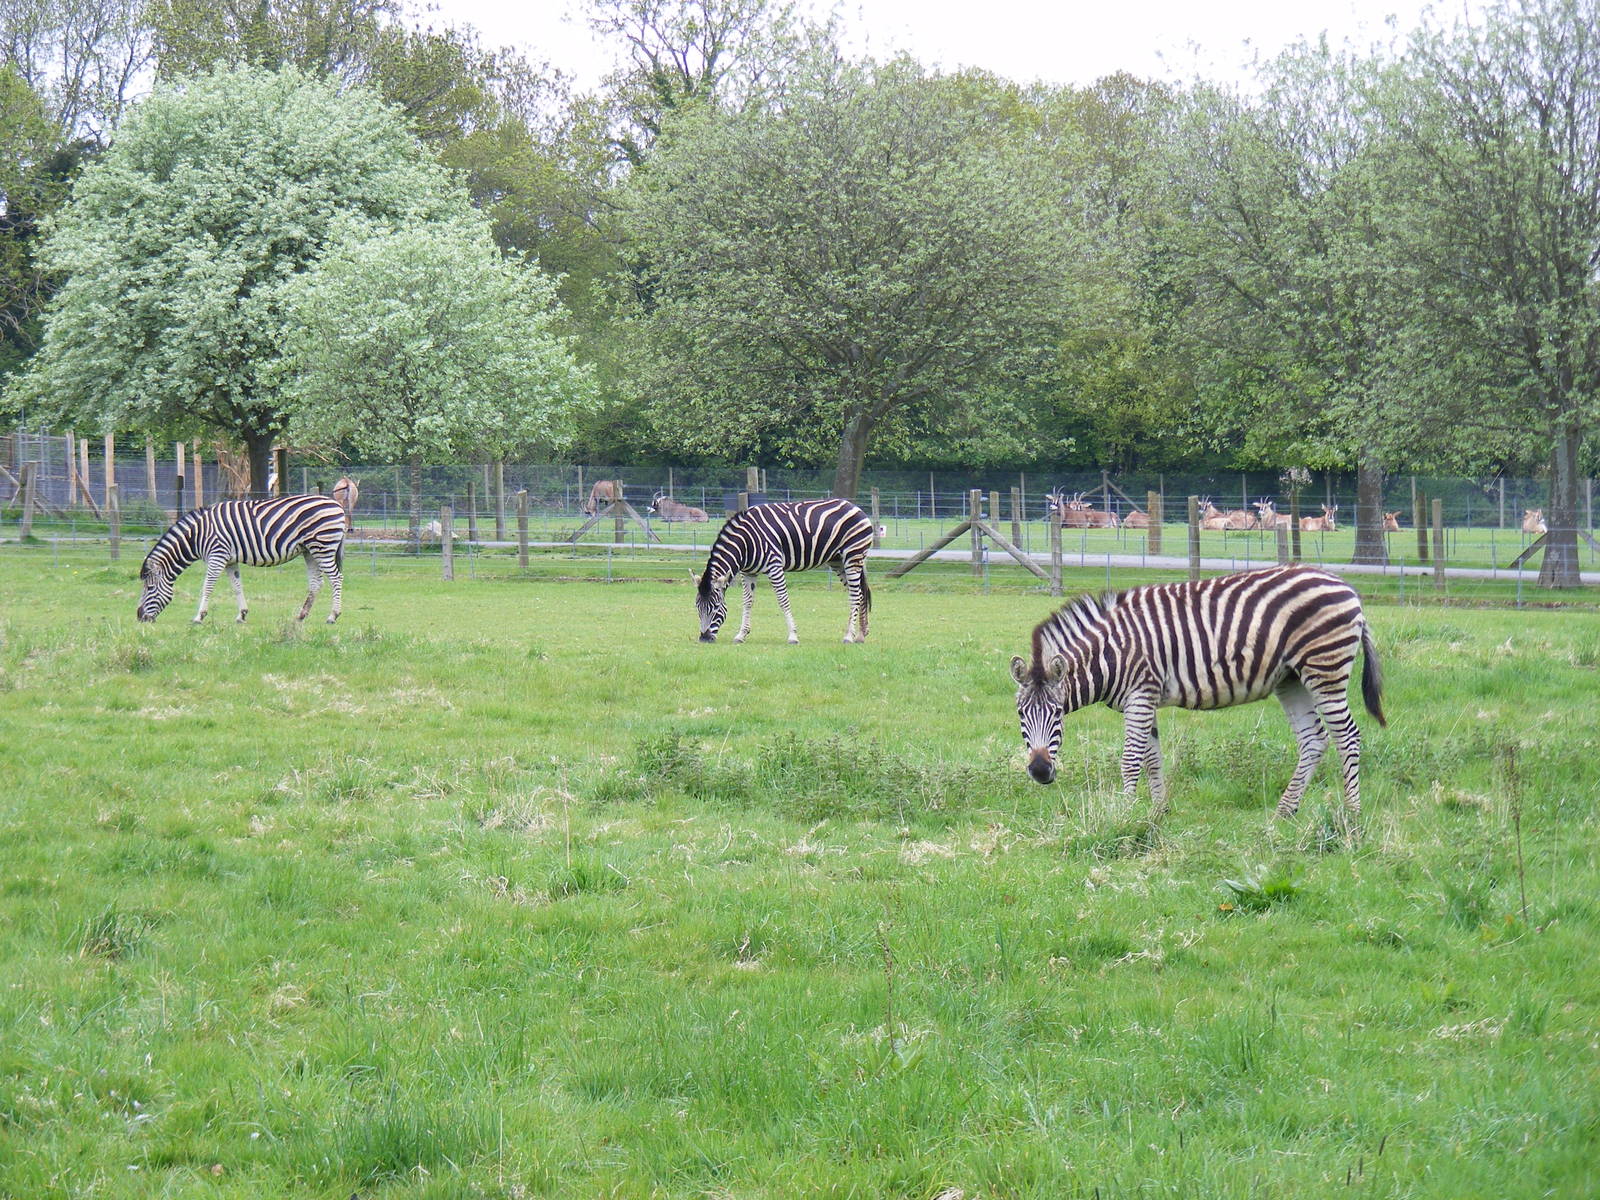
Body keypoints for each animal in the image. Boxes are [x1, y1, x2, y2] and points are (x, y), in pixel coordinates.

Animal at [136, 495, 348, 624]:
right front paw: (242, 614)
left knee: (336, 578)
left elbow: (207, 587)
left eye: (150, 588)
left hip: (323, 546)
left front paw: (199, 616)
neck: (196, 536)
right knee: (316, 583)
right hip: (309, 550)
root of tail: (336, 504)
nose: (139, 617)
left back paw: (333, 615)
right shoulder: (229, 560)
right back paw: (301, 616)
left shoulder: (217, 555)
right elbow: (237, 586)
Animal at [694, 498, 873, 644]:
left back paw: (849, 636)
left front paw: (793, 636)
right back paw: (860, 635)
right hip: (838, 561)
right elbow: (747, 602)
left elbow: (783, 600)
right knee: (859, 594)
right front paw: (741, 635)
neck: (745, 543)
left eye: (716, 607)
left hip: (853, 556)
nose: (704, 638)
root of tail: (855, 507)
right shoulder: (748, 572)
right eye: (697, 607)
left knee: (855, 595)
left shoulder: (774, 566)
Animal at [1009, 565, 1385, 826]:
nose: (1040, 771)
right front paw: (1157, 814)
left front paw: (1124, 815)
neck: (1110, 652)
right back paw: (1284, 812)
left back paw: (1352, 814)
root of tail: (1345, 586)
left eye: (1058, 712)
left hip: (1325, 668)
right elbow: (1152, 758)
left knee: (1347, 736)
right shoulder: (1147, 698)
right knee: (1313, 739)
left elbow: (1130, 759)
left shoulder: (1140, 694)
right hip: (1291, 678)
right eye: (1021, 715)